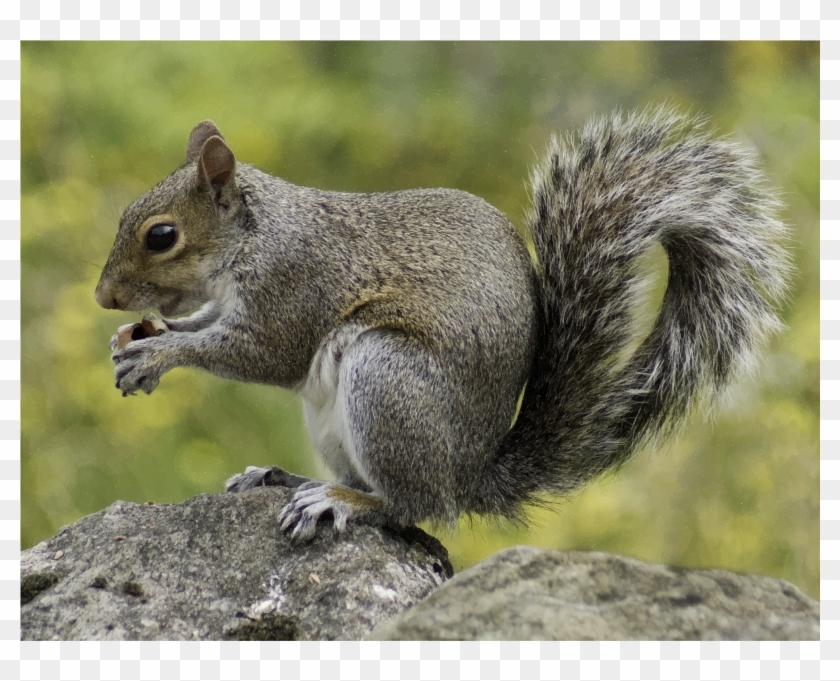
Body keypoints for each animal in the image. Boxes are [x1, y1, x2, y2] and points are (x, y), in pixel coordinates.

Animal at [95, 107, 790, 541]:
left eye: (162, 236)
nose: (104, 298)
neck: (255, 237)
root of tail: (468, 475)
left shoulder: (295, 287)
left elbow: (260, 353)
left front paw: (157, 355)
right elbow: (208, 323)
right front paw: (140, 339)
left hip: (387, 380)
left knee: (414, 507)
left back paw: (340, 501)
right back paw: (286, 477)